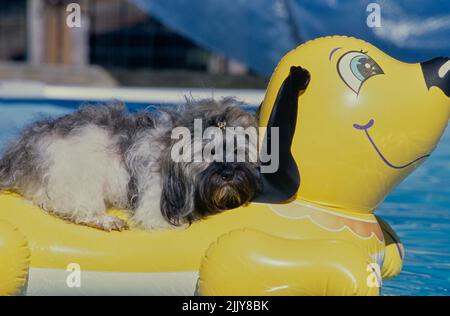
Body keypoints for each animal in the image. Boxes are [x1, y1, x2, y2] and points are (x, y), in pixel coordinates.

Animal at [0, 100, 260, 231]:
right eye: (209, 152)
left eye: (238, 150)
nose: (228, 174)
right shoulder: (155, 206)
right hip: (77, 172)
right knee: (69, 208)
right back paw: (105, 220)